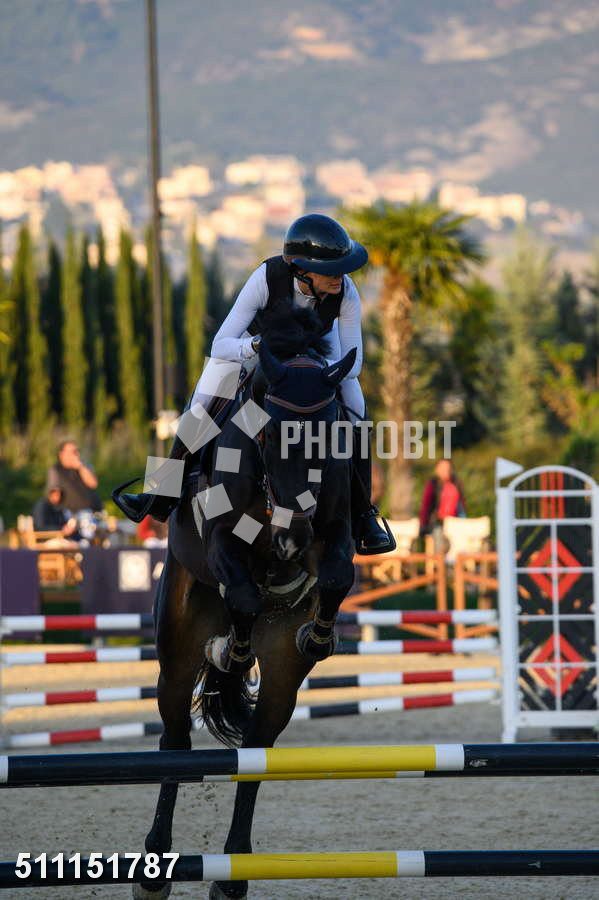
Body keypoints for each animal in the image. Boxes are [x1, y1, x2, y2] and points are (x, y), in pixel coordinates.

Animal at [134, 308, 357, 900]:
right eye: (270, 432)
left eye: (334, 435)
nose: (292, 541)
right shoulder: (222, 544)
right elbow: (242, 593)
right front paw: (227, 653)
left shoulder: (334, 529)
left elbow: (338, 573)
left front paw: (318, 635)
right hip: (175, 649)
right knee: (174, 741)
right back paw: (154, 865)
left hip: (280, 679)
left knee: (257, 750)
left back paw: (234, 874)